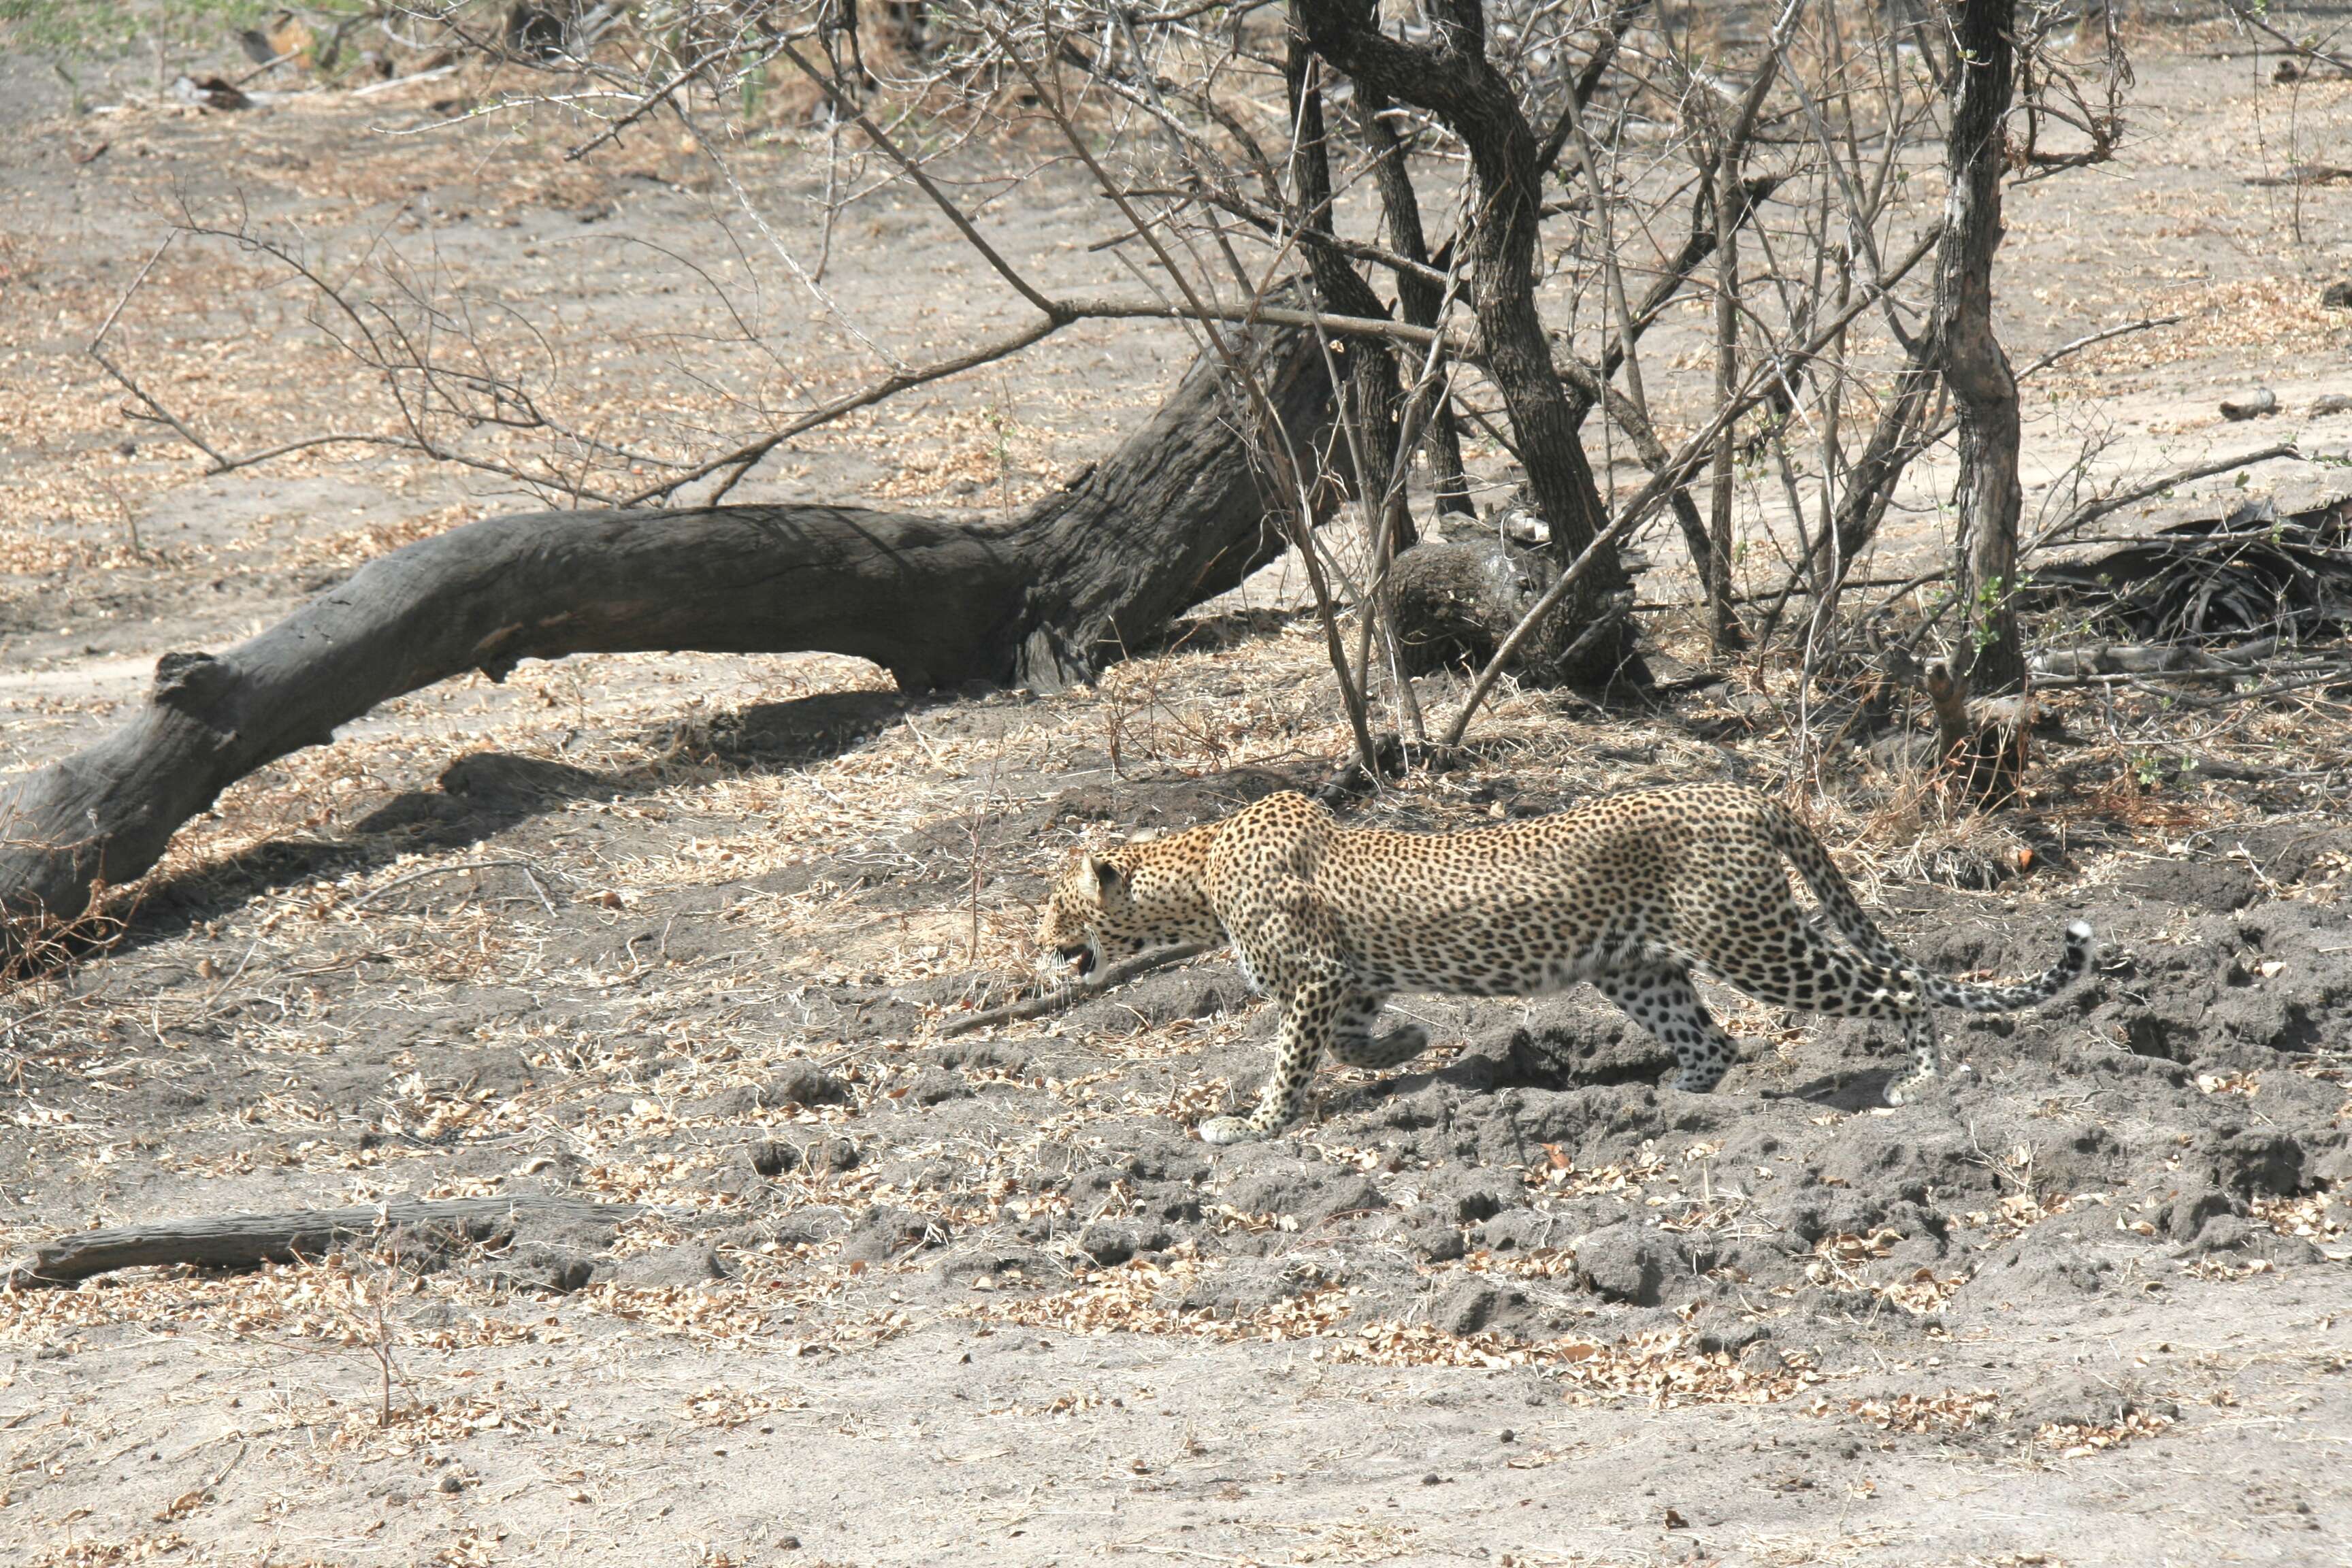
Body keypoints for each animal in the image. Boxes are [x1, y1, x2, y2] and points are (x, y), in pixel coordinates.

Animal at [1039, 780, 2107, 1142]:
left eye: (1051, 905)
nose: (1039, 957)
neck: (1197, 868)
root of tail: (1749, 794)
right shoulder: (1346, 979)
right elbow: (1347, 1041)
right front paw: (1407, 1048)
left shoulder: (1311, 979)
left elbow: (1294, 1058)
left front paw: (1256, 1125)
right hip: (1634, 964)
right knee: (1712, 1041)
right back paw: (1662, 1101)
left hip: (1752, 940)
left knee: (1895, 984)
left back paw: (1922, 1080)